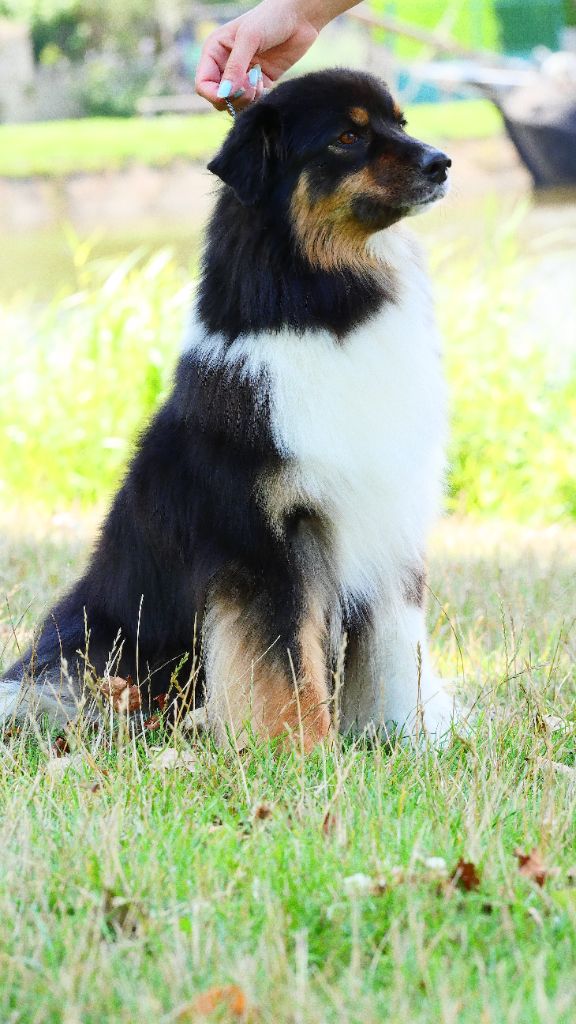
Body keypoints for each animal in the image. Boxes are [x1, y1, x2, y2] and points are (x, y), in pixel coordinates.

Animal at [2, 68, 455, 749]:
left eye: (399, 122)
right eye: (348, 137)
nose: (442, 161)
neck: (325, 309)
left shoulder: (386, 521)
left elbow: (397, 656)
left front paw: (408, 740)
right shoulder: (263, 540)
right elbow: (285, 666)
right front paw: (305, 751)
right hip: (87, 652)